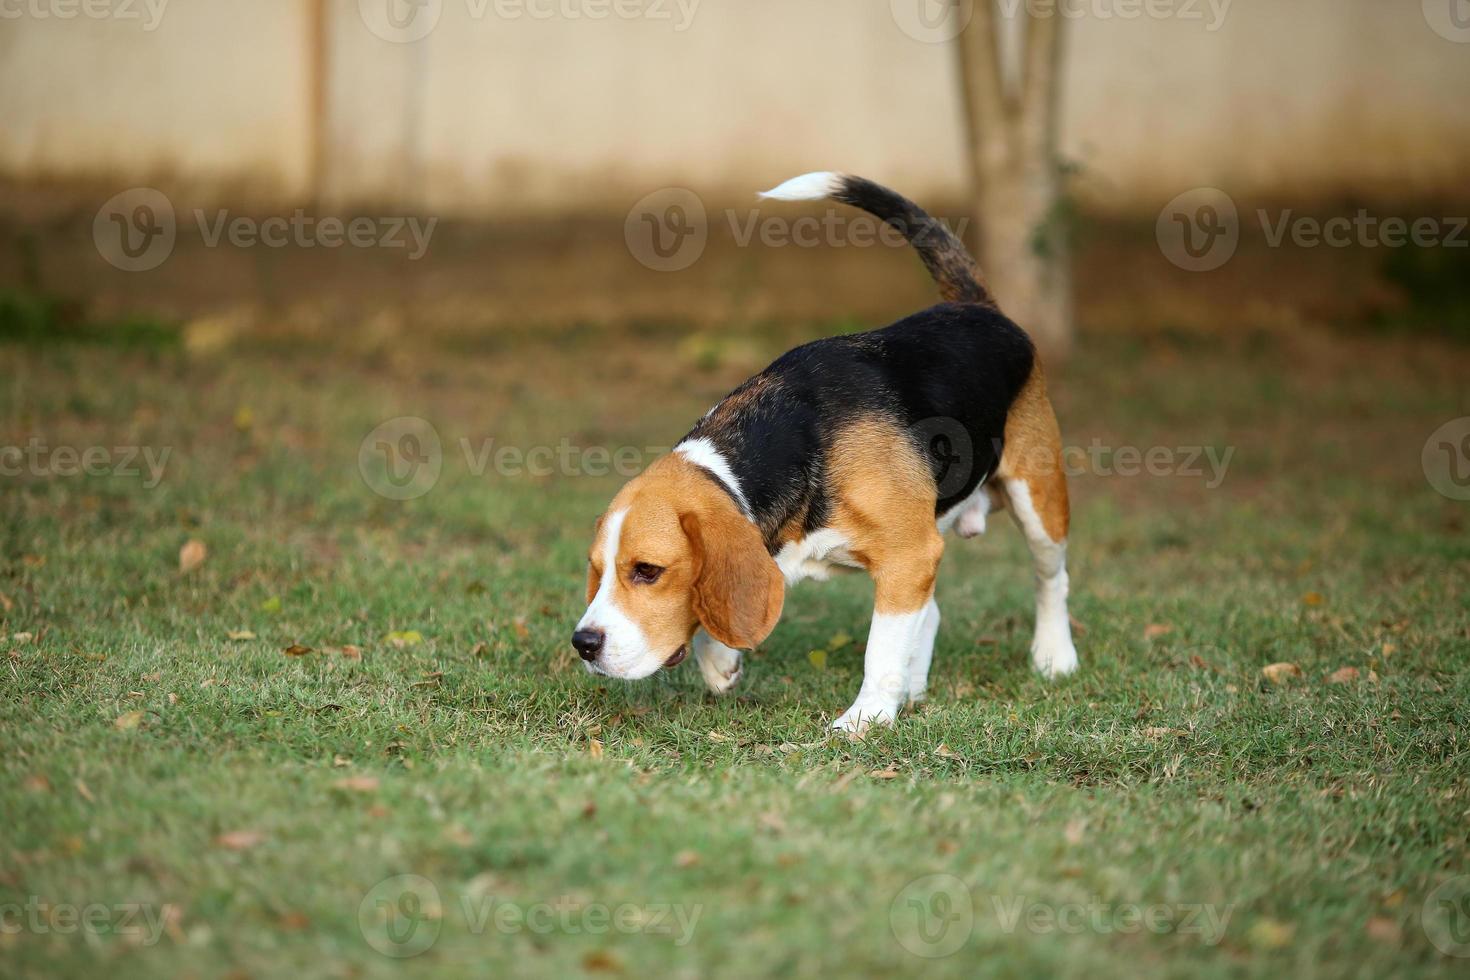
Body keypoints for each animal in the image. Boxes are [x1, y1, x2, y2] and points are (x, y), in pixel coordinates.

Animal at [576, 172, 1081, 731]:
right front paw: (722, 660)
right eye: (598, 569)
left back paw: (1054, 656)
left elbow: (881, 646)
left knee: (1050, 579)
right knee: (931, 613)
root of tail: (976, 306)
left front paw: (866, 718)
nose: (583, 644)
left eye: (647, 571)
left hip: (1038, 503)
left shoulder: (910, 552)